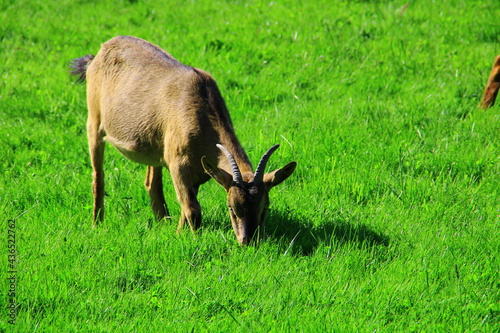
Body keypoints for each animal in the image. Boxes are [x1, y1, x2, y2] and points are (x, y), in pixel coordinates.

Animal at [70, 35, 296, 244]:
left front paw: (178, 233)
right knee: (98, 176)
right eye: (231, 207)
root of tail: (97, 55)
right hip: (94, 121)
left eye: (264, 207)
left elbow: (185, 206)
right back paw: (97, 223)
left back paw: (162, 221)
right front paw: (190, 240)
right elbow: (192, 210)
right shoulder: (178, 164)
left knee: (152, 183)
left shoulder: (198, 172)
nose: (247, 240)